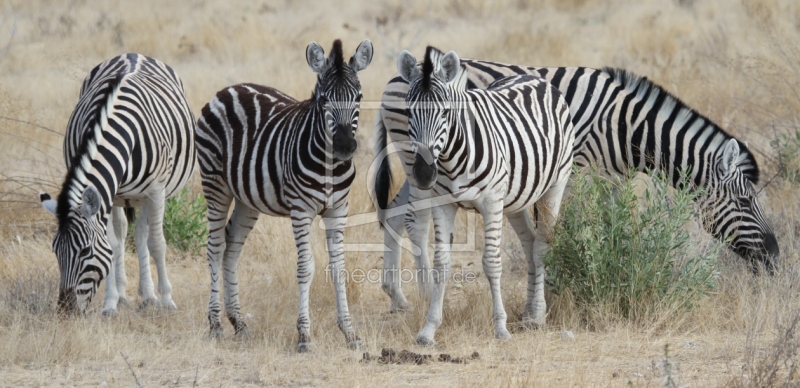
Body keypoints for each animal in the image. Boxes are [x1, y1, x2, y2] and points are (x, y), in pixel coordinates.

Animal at [38, 53, 198, 316]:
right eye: (55, 250)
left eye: (85, 251)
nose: (65, 311)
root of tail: (134, 54)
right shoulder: (109, 195)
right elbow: (112, 244)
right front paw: (111, 303)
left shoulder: (156, 192)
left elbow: (157, 243)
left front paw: (166, 299)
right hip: (124, 198)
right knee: (126, 232)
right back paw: (126, 294)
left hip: (148, 195)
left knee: (143, 233)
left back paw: (149, 296)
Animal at [197, 38, 376, 352]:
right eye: (324, 100)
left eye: (359, 97)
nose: (344, 146)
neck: (330, 165)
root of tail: (227, 90)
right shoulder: (301, 210)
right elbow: (305, 268)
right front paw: (304, 336)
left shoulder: (338, 209)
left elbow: (339, 269)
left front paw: (350, 334)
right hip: (215, 184)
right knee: (215, 247)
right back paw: (216, 324)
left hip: (246, 199)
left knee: (232, 249)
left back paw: (239, 322)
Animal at [376, 61, 780, 316]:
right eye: (745, 200)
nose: (775, 259)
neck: (626, 126)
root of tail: (393, 78)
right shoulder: (576, 171)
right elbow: (566, 230)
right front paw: (561, 292)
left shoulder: (612, 179)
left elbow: (612, 227)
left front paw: (614, 275)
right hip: (419, 160)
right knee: (414, 220)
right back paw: (425, 294)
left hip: (419, 166)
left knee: (393, 214)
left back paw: (397, 297)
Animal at [394, 47, 576, 344]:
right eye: (409, 112)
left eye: (446, 112)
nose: (422, 173)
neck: (452, 157)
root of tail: (537, 78)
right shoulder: (443, 203)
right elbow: (442, 265)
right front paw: (429, 328)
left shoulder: (491, 203)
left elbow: (491, 262)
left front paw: (500, 327)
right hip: (516, 197)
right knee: (529, 242)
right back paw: (528, 313)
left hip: (555, 184)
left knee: (541, 246)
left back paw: (537, 315)